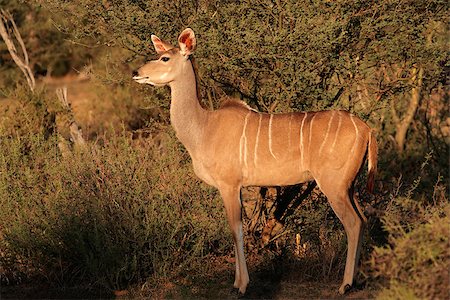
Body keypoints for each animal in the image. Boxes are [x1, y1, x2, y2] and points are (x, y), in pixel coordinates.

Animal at [133, 28, 376, 296]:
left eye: (165, 58)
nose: (136, 72)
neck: (204, 127)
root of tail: (367, 129)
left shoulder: (229, 185)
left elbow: (235, 229)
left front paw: (241, 286)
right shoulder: (237, 187)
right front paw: (237, 282)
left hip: (333, 185)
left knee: (353, 223)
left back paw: (345, 285)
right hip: (348, 185)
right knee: (364, 220)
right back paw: (356, 280)